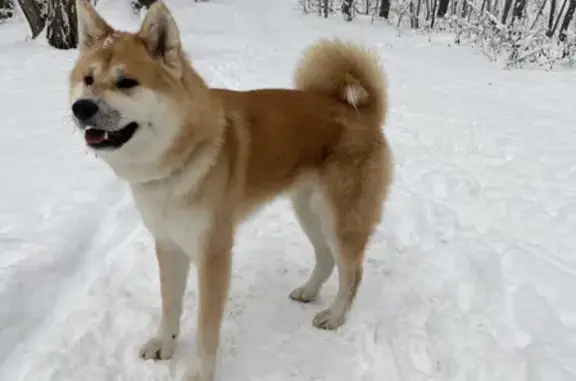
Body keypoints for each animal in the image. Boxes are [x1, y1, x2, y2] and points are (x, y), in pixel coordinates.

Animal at [67, 0, 392, 378]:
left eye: (126, 82)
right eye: (88, 79)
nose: (81, 108)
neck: (180, 158)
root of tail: (362, 112)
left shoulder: (212, 254)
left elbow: (207, 328)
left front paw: (199, 373)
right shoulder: (169, 245)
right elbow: (170, 303)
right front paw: (164, 342)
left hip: (341, 220)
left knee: (352, 273)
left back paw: (336, 315)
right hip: (308, 210)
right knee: (325, 258)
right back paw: (309, 291)